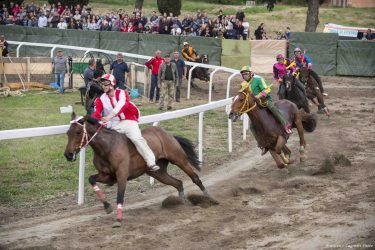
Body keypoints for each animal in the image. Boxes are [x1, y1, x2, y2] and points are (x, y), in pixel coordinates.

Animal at [63, 113, 213, 227]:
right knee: (178, 183)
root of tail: (166, 133)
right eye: (67, 133)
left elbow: (120, 196)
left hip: (180, 160)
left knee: (195, 178)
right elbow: (91, 179)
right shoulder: (107, 176)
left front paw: (118, 219)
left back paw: (209, 198)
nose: (68, 155)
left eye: (78, 132)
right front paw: (107, 206)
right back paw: (183, 203)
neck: (107, 147)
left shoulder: (122, 175)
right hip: (158, 172)